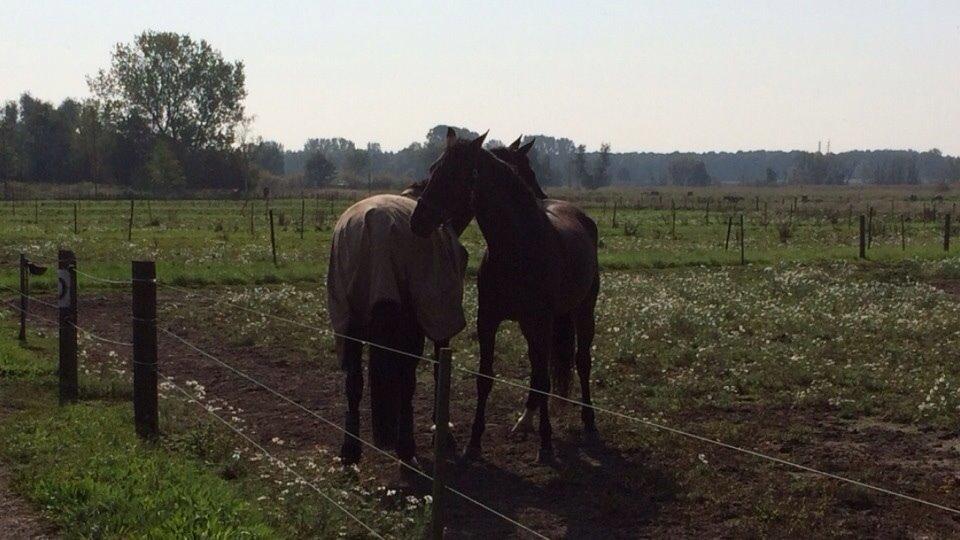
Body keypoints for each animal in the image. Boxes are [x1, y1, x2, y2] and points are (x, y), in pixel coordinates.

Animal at [410, 129, 600, 462]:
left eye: (455, 173)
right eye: (433, 168)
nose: (418, 220)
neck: (517, 248)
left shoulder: (540, 322)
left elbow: (545, 379)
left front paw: (546, 445)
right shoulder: (488, 321)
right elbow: (485, 378)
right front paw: (474, 442)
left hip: (581, 312)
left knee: (580, 361)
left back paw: (587, 420)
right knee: (539, 367)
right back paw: (525, 420)